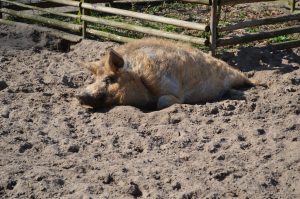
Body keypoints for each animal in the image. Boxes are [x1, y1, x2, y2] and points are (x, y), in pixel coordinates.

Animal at [77, 37, 253, 109]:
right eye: (94, 79)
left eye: (109, 79)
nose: (78, 95)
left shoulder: (174, 91)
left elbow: (164, 101)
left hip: (238, 75)